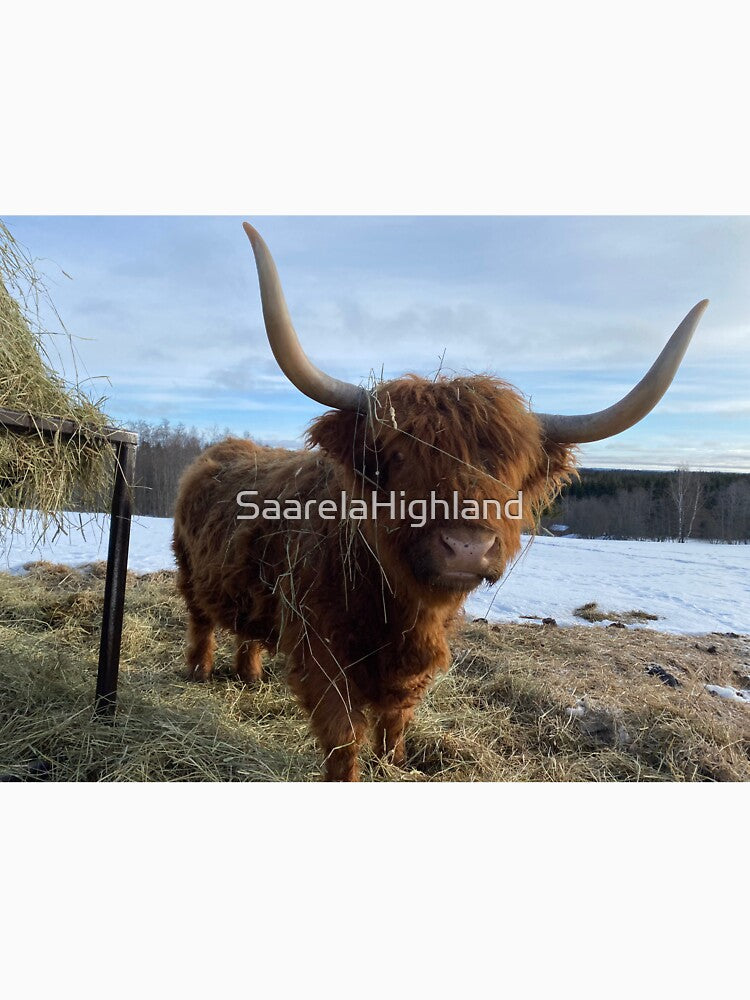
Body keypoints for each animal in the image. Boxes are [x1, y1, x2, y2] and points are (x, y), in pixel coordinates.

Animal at [172, 222, 707, 780]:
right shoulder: (322, 653)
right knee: (200, 620)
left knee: (247, 628)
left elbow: (397, 718)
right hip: (188, 568)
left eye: (510, 470)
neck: (402, 608)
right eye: (399, 455)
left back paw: (250, 674)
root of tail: (222, 450)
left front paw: (396, 761)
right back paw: (199, 670)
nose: (467, 548)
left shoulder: (414, 663)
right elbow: (343, 739)